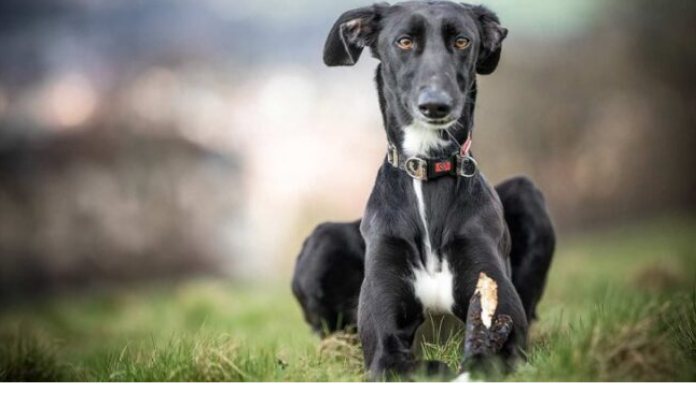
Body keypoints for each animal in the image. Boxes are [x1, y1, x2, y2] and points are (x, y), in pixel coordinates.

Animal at [292, 1, 556, 380]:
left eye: (462, 41)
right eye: (404, 41)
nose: (436, 105)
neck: (427, 170)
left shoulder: (499, 315)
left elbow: (489, 354)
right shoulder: (384, 346)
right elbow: (414, 365)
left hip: (526, 193)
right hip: (322, 242)